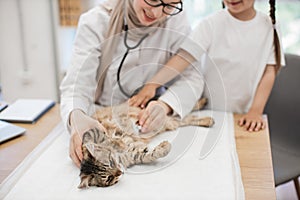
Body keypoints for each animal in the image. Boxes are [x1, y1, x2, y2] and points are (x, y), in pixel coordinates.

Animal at [77, 97, 213, 188]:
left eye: (110, 163)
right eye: (109, 178)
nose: (120, 172)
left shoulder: (101, 130)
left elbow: (116, 137)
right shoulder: (135, 154)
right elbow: (151, 154)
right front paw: (164, 147)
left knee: (179, 111)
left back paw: (203, 102)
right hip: (170, 123)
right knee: (184, 118)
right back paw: (208, 119)